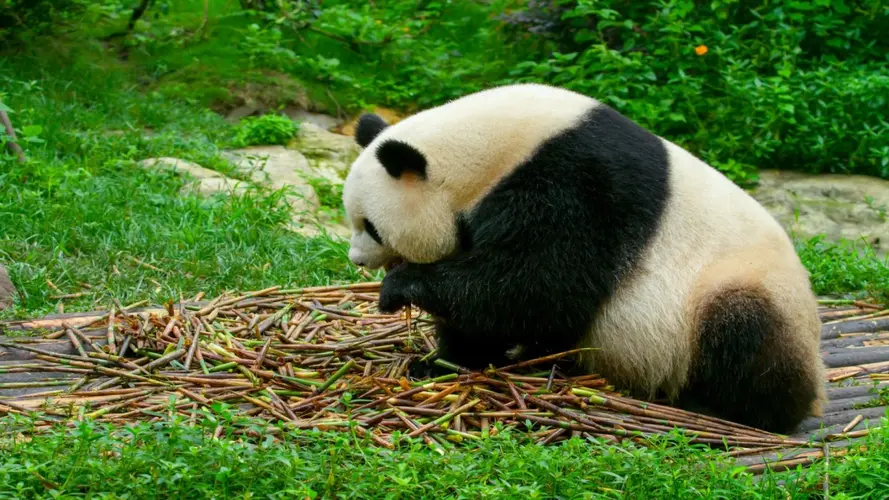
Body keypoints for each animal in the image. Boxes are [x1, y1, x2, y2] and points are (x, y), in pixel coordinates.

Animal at [341, 83, 826, 434]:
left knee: (744, 332)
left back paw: (726, 407)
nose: (357, 260)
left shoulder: (579, 184)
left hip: (743, 288)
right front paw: (440, 362)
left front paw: (401, 288)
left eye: (371, 226)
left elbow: (537, 286)